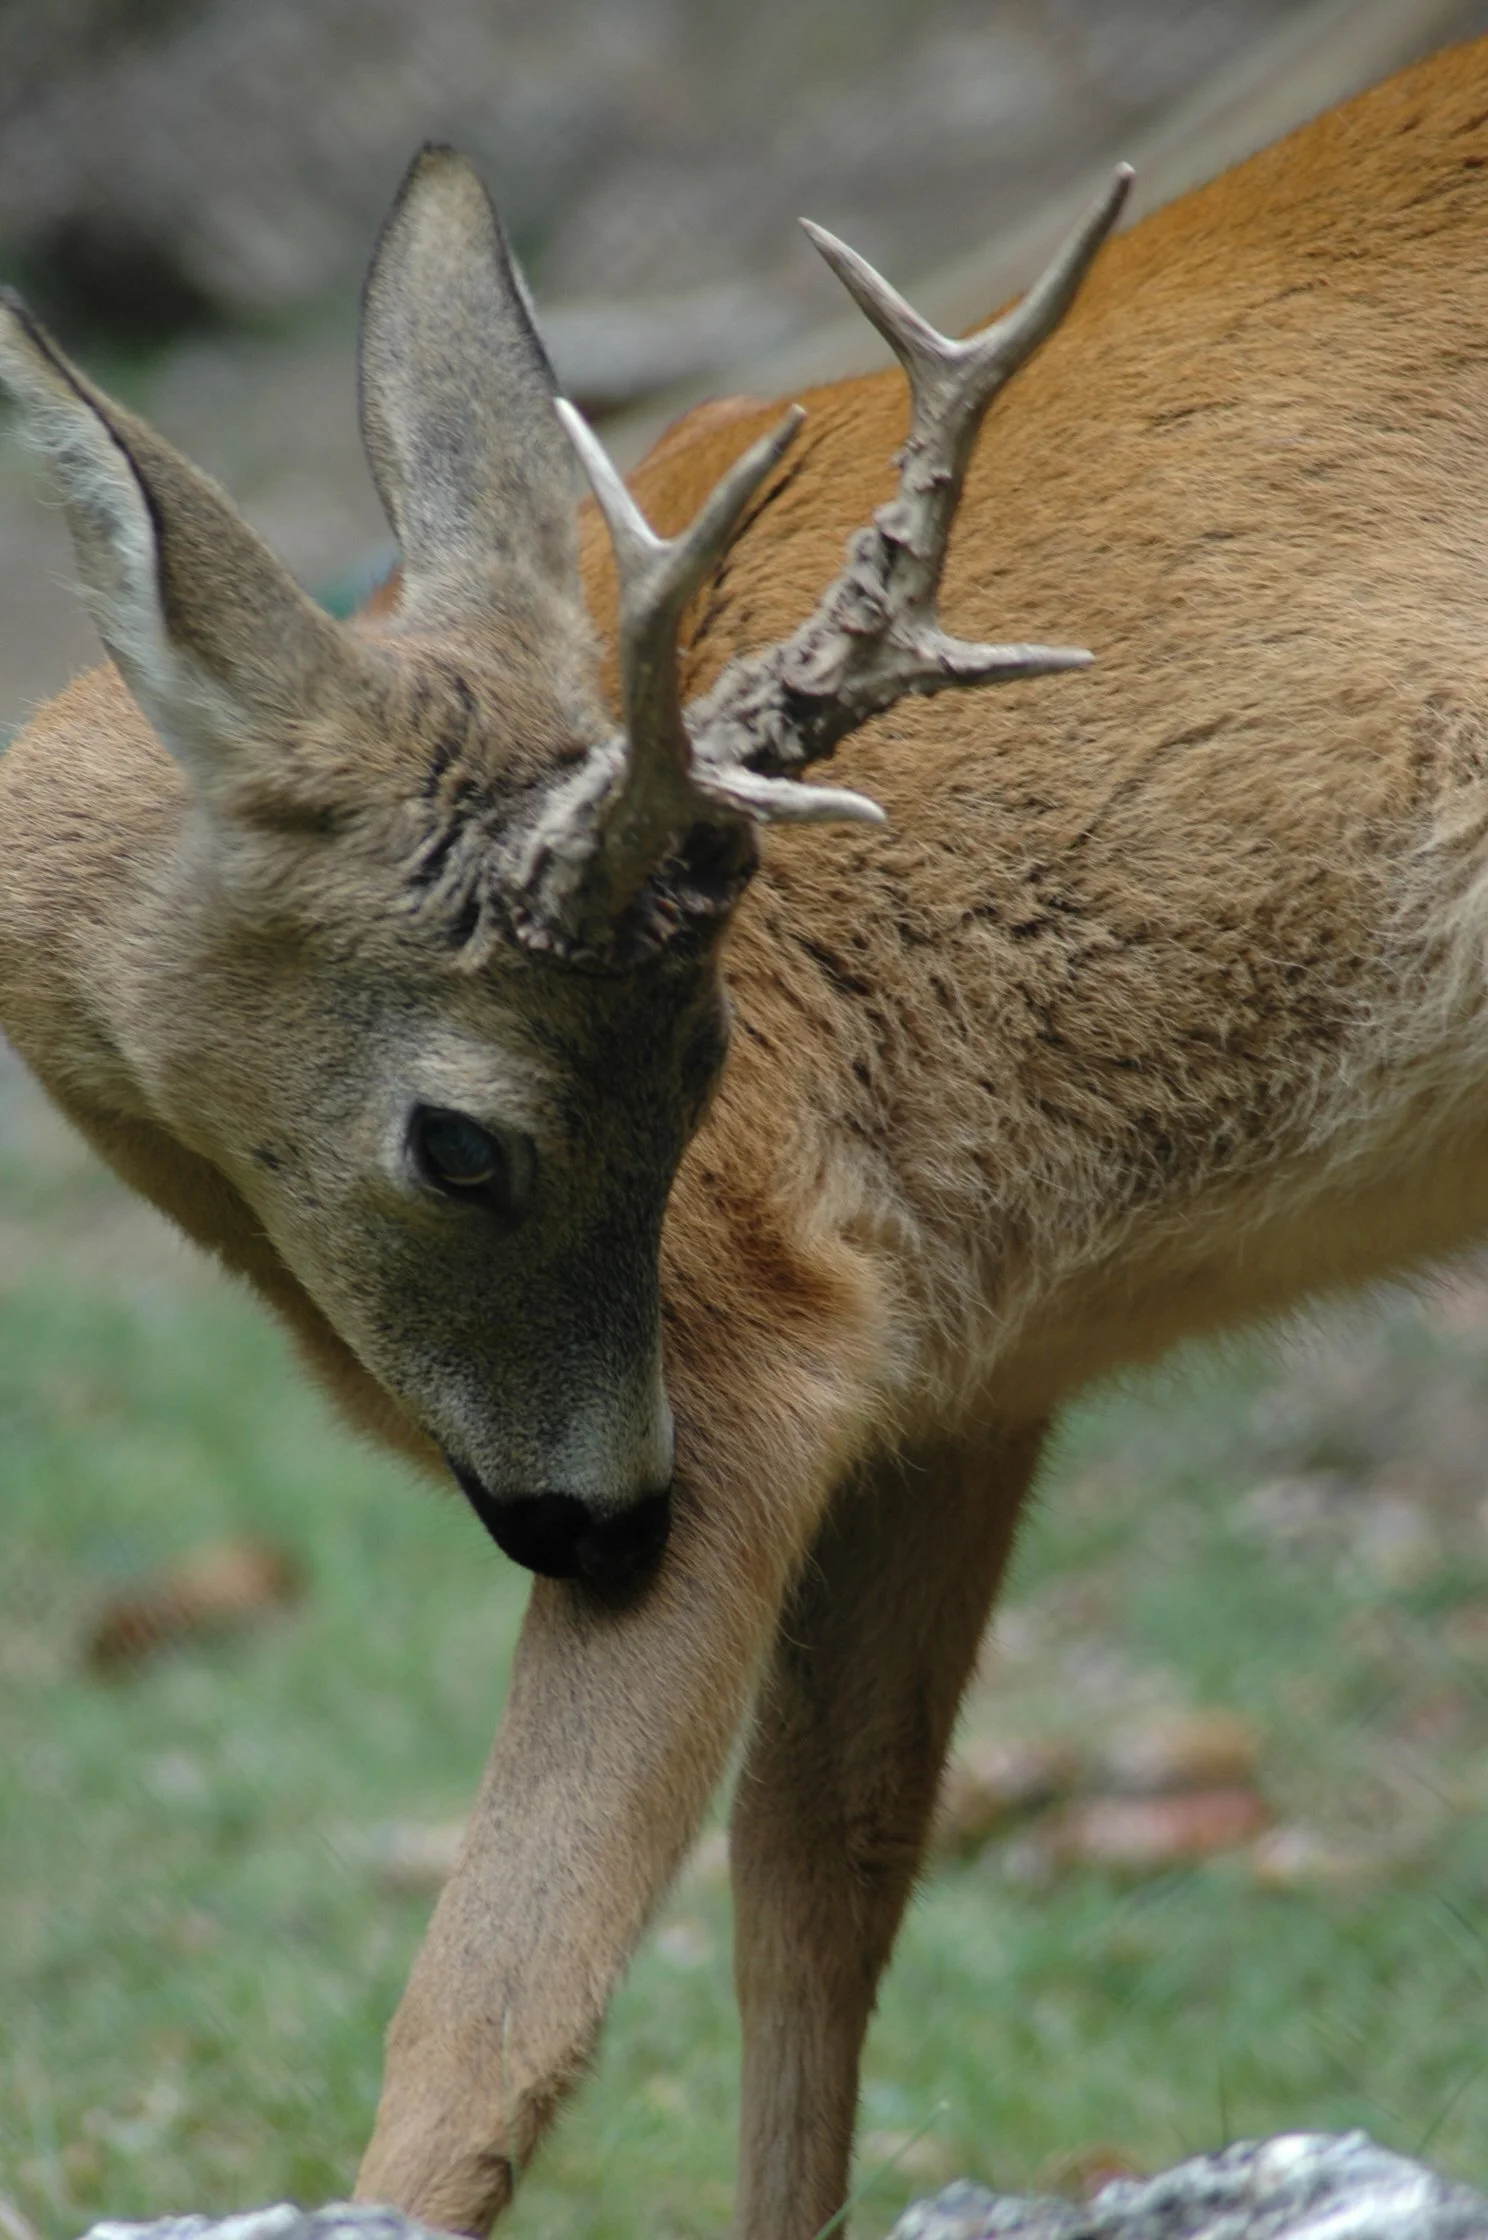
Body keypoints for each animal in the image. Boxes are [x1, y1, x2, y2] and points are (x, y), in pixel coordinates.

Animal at [5, 24, 1488, 2235]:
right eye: (467, 1148)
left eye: (707, 1075)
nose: (603, 1519)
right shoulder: (968, 1368)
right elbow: (823, 1881)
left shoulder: (767, 1331)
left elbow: (495, 2008)